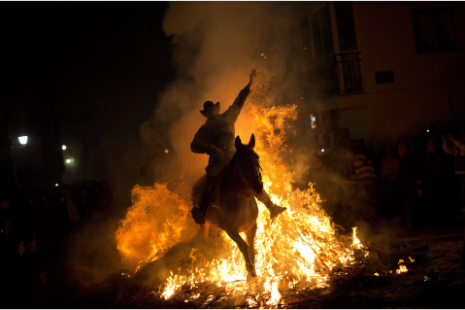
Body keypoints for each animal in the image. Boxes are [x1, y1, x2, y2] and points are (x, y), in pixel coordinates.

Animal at [191, 133, 262, 276]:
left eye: (257, 157)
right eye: (242, 160)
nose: (258, 186)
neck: (243, 203)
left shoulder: (251, 227)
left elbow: (250, 246)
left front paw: (253, 270)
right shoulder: (231, 230)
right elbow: (243, 246)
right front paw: (249, 269)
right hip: (204, 224)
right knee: (205, 239)